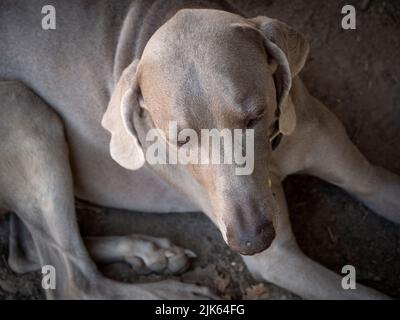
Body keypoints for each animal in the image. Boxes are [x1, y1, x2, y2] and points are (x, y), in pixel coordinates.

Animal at [0, 0, 400, 300]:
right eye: (179, 140)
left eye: (256, 115)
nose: (252, 240)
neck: (275, 154)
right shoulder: (280, 260)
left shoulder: (370, 179)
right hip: (22, 107)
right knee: (74, 281)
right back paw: (170, 289)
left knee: (25, 252)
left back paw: (151, 253)